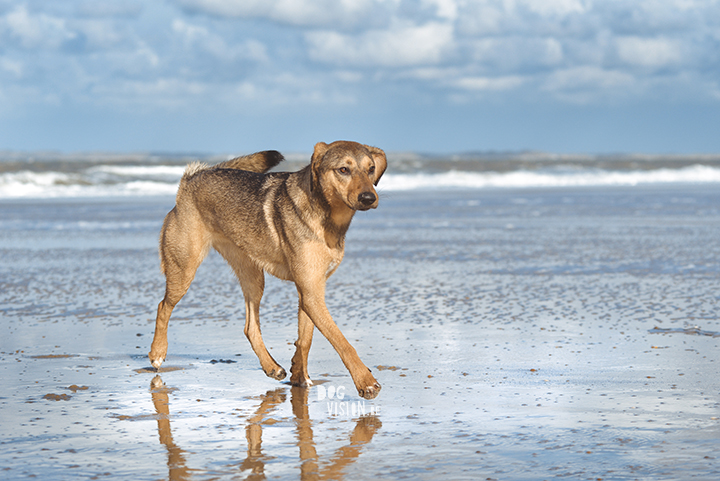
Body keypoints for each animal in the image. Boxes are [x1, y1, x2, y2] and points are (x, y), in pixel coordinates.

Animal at [148, 141, 388, 400]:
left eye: (371, 169)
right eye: (343, 169)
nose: (369, 197)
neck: (327, 217)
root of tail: (190, 179)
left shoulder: (311, 290)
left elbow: (305, 339)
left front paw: (299, 376)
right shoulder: (311, 293)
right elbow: (342, 342)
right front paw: (365, 382)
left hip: (253, 277)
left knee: (250, 327)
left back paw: (271, 367)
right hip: (184, 269)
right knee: (163, 306)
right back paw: (157, 352)